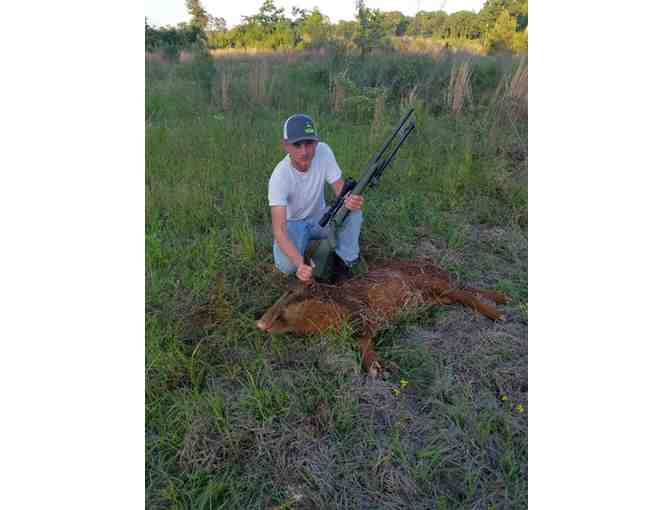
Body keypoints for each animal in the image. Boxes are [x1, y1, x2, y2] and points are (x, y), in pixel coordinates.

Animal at [256, 258, 509, 376]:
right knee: (465, 289)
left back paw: (498, 314)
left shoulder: (364, 314)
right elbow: (362, 342)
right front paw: (380, 367)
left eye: (292, 293)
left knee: (465, 293)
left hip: (435, 285)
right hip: (439, 295)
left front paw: (378, 367)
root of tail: (436, 266)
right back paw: (502, 297)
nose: (260, 323)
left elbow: (363, 341)